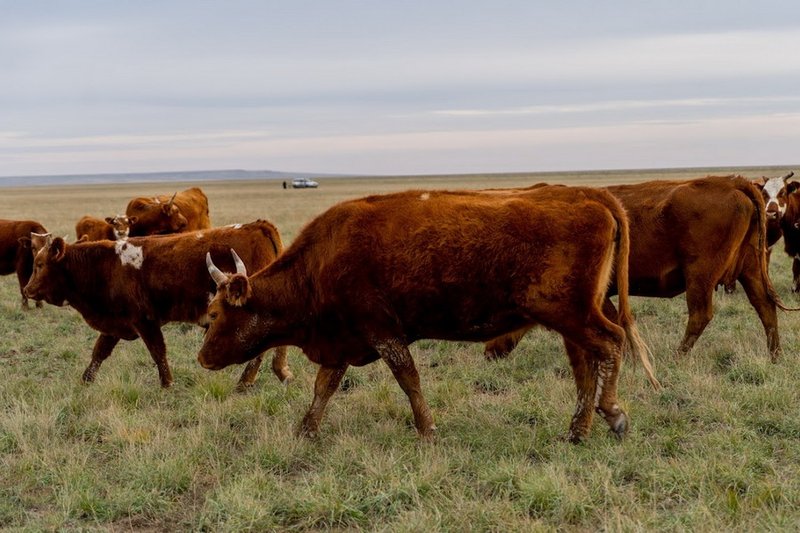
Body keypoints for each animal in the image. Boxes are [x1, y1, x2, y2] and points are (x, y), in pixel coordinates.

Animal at [23, 218, 292, 388]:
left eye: (39, 265)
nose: (27, 289)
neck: (105, 266)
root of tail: (259, 226)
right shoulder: (115, 323)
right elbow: (99, 352)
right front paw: (85, 380)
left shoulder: (145, 321)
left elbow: (158, 352)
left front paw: (167, 384)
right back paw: (280, 373)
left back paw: (247, 381)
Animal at [198, 187, 656, 444]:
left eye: (215, 313)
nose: (202, 358)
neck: (320, 263)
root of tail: (589, 195)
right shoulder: (343, 340)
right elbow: (323, 388)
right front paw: (306, 431)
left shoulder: (382, 331)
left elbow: (408, 379)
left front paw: (428, 430)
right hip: (569, 319)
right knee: (586, 365)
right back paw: (577, 431)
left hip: (570, 313)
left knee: (610, 343)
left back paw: (613, 414)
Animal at [484, 175, 792, 362]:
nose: (489, 353)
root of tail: (731, 182)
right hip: (750, 269)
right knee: (765, 307)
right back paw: (775, 355)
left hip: (700, 275)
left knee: (700, 314)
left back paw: (677, 357)